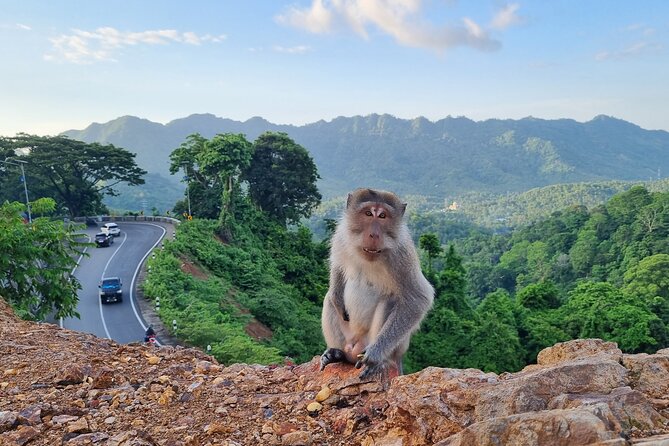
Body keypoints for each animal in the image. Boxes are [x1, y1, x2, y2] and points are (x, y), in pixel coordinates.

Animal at [320, 188, 434, 381]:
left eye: (382, 216)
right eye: (368, 213)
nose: (374, 234)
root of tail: (354, 349)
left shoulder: (402, 255)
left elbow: (418, 298)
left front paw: (375, 354)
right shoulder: (341, 235)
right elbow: (338, 266)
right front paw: (336, 295)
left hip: (387, 348)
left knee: (391, 300)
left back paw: (380, 361)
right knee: (329, 300)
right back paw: (336, 353)